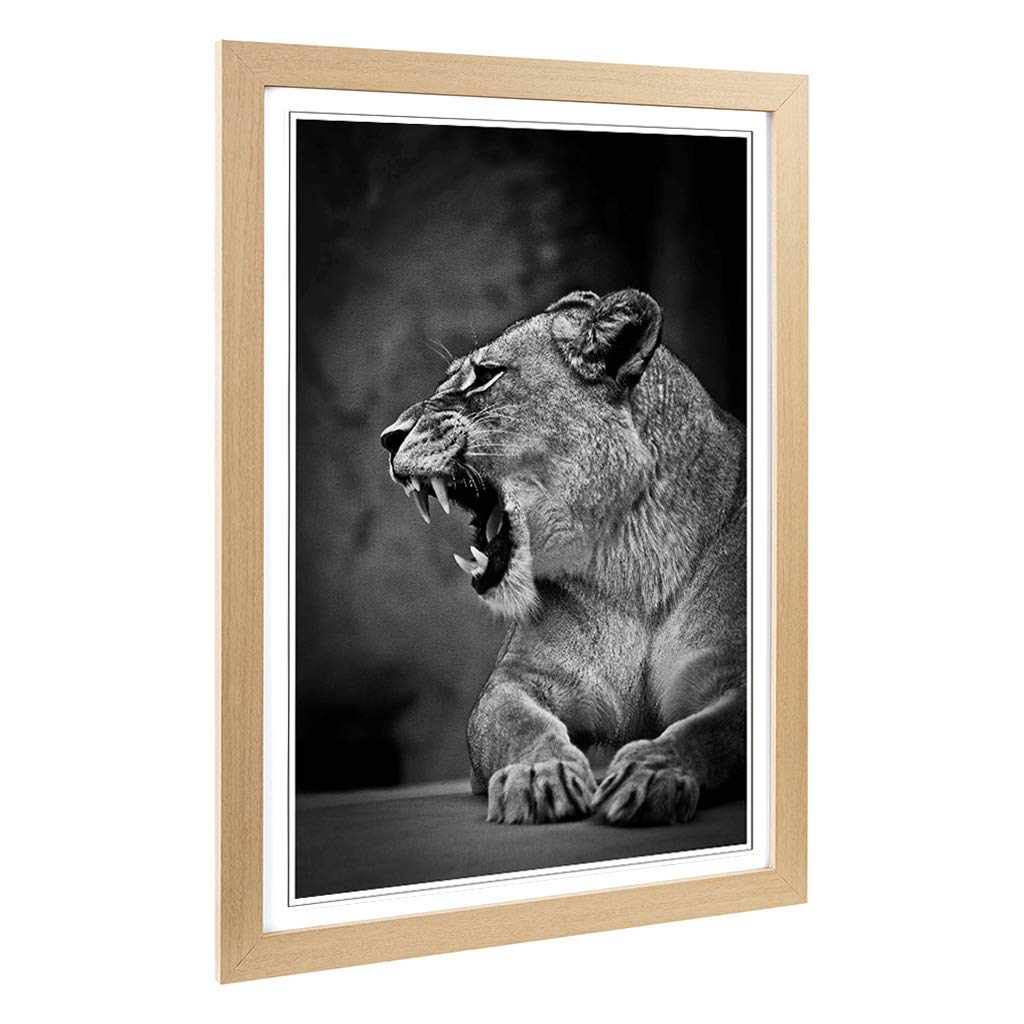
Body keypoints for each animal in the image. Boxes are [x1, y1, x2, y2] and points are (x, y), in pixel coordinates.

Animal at [380, 289, 746, 826]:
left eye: (484, 375)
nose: (387, 438)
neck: (636, 566)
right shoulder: (514, 682)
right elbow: (524, 727)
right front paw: (539, 775)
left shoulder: (732, 674)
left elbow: (708, 732)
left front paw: (653, 771)